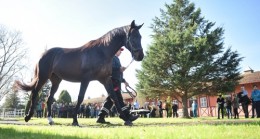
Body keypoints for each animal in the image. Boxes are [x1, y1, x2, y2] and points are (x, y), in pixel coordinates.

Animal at [15, 20, 144, 126]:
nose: (140, 56)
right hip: (42, 77)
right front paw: (75, 121)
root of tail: (43, 54)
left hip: (56, 81)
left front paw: (126, 119)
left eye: (140, 37)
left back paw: (50, 120)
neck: (101, 51)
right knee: (35, 93)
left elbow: (114, 97)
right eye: (133, 37)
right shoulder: (85, 79)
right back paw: (27, 117)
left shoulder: (105, 79)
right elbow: (80, 98)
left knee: (49, 99)